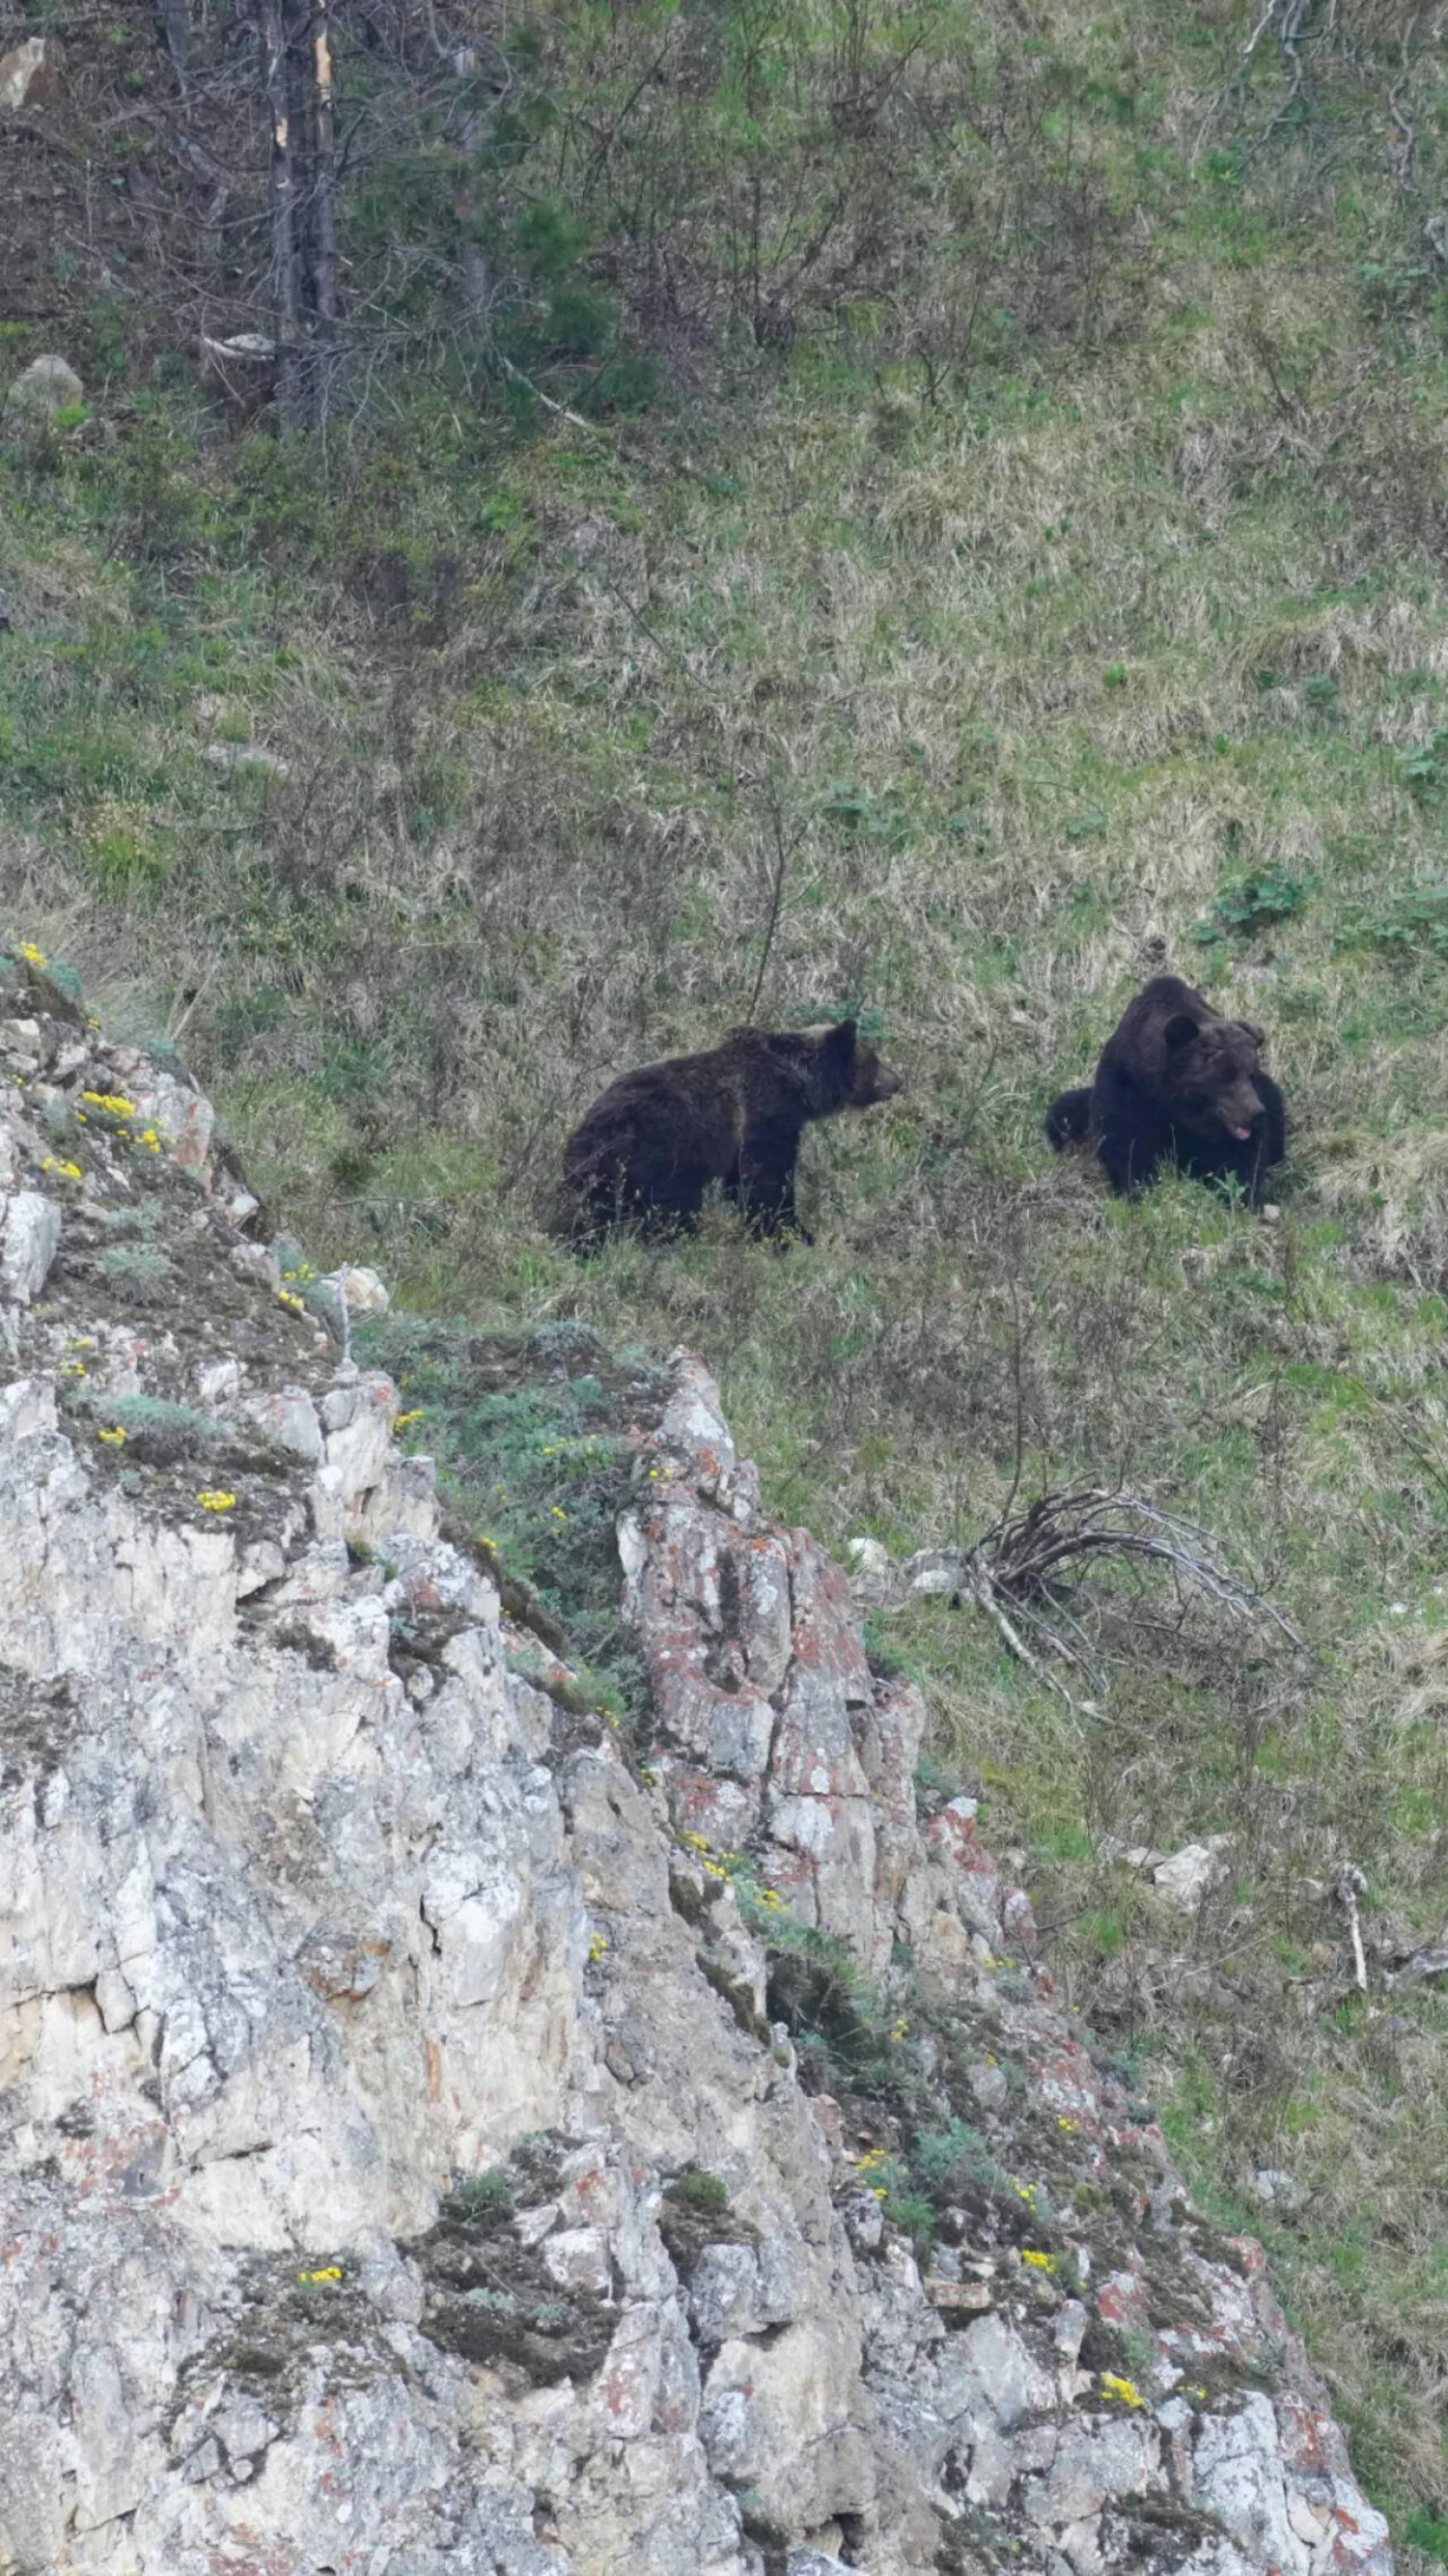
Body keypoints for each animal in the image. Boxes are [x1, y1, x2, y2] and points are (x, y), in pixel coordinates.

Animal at [560, 1018, 903, 1247]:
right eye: (874, 1059)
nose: (898, 1080)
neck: (797, 1084)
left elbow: (743, 1183)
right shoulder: (765, 1120)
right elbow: (766, 1184)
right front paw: (794, 1233)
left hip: (593, 1167)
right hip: (663, 1152)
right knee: (669, 1205)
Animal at [1045, 975, 1285, 1204]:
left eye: (1251, 1074)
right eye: (1226, 1075)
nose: (1255, 1112)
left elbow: (1239, 1159)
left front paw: (1241, 1196)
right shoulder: (1127, 1091)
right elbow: (1127, 1145)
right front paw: (1139, 1189)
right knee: (1063, 1112)